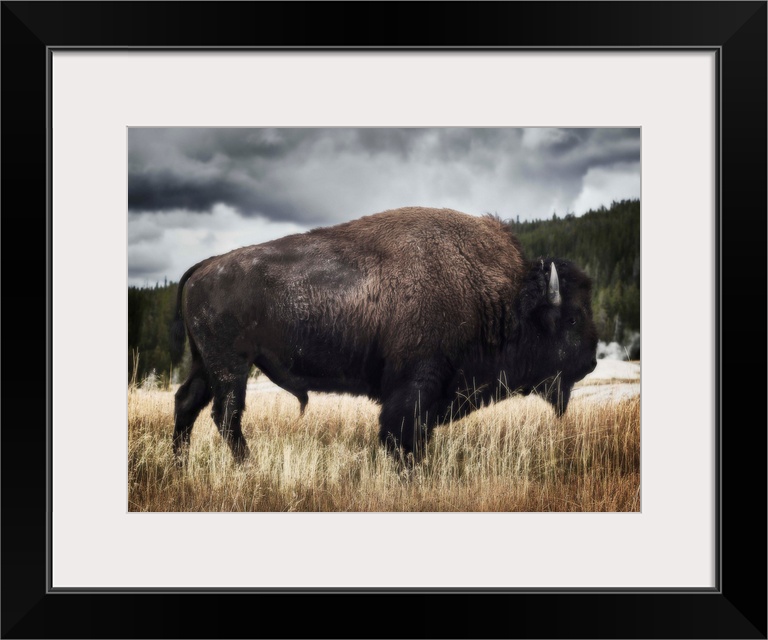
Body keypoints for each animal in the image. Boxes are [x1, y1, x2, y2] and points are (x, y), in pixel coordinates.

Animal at [170, 209, 600, 464]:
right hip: (231, 365)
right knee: (226, 414)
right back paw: (248, 465)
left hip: (206, 363)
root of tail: (205, 266)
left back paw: (178, 463)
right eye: (572, 319)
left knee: (187, 403)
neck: (498, 293)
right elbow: (400, 433)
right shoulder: (415, 386)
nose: (592, 361)